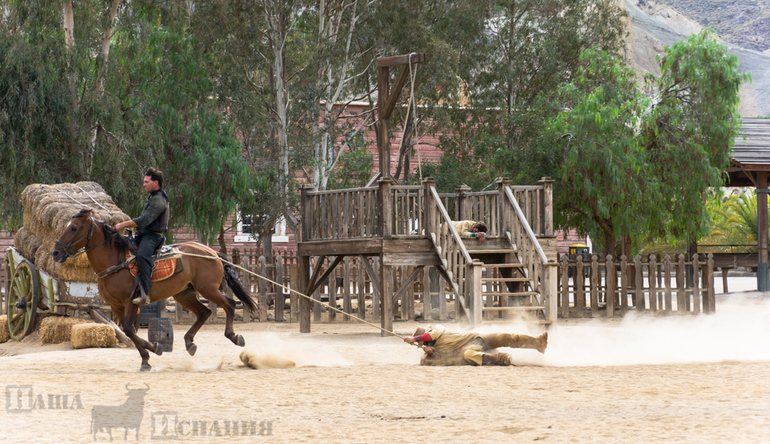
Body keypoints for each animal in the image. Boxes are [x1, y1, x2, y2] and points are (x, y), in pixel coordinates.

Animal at [53, 208, 260, 372]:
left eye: (73, 227)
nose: (55, 252)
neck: (115, 262)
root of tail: (212, 253)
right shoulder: (116, 305)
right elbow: (128, 331)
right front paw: (149, 355)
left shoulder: (131, 302)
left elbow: (128, 329)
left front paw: (151, 352)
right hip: (184, 294)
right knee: (204, 312)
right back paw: (189, 342)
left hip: (208, 289)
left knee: (230, 304)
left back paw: (234, 336)